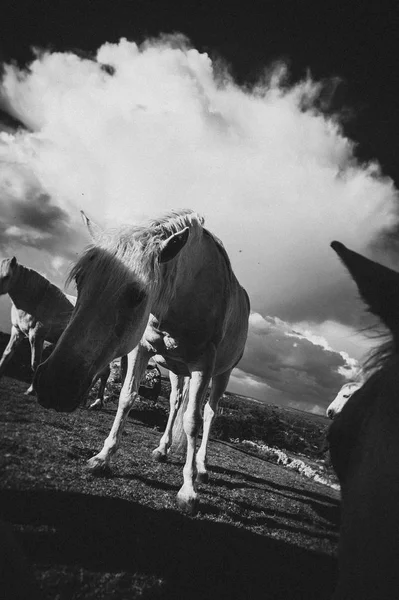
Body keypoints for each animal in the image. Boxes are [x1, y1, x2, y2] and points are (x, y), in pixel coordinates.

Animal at [34, 209, 250, 512]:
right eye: (80, 280)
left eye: (137, 295)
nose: (54, 384)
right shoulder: (141, 350)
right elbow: (127, 397)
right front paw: (102, 457)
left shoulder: (203, 365)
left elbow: (193, 421)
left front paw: (188, 490)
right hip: (177, 369)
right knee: (174, 403)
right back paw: (162, 448)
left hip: (222, 374)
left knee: (209, 413)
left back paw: (202, 467)